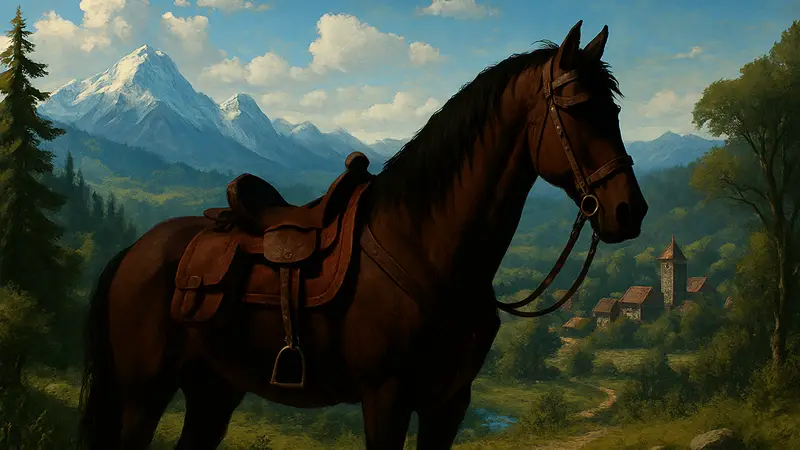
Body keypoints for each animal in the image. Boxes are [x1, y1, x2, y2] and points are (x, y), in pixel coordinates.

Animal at [78, 20, 648, 450]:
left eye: (616, 109)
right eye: (578, 108)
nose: (630, 211)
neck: (426, 247)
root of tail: (135, 250)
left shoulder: (449, 402)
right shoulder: (386, 398)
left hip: (213, 391)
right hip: (143, 394)